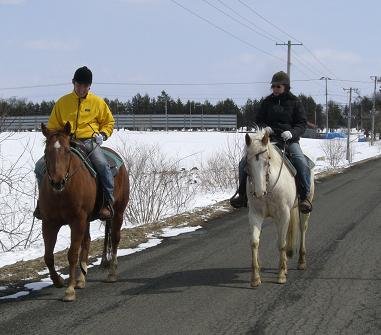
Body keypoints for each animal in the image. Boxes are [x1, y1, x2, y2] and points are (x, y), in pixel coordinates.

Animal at [39, 122, 129, 304]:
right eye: (46, 151)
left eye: (67, 150)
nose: (57, 182)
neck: (62, 192)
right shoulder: (49, 223)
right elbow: (48, 256)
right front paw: (58, 281)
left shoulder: (77, 220)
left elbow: (72, 254)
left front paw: (69, 290)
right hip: (87, 220)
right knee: (86, 242)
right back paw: (81, 279)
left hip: (118, 213)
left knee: (115, 239)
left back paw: (111, 273)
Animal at [245, 130, 314, 288]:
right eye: (247, 162)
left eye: (267, 160)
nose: (258, 193)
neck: (269, 186)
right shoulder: (255, 215)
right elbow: (254, 242)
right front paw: (255, 278)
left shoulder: (283, 214)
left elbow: (281, 243)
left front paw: (281, 275)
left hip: (302, 210)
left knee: (302, 229)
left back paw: (301, 262)